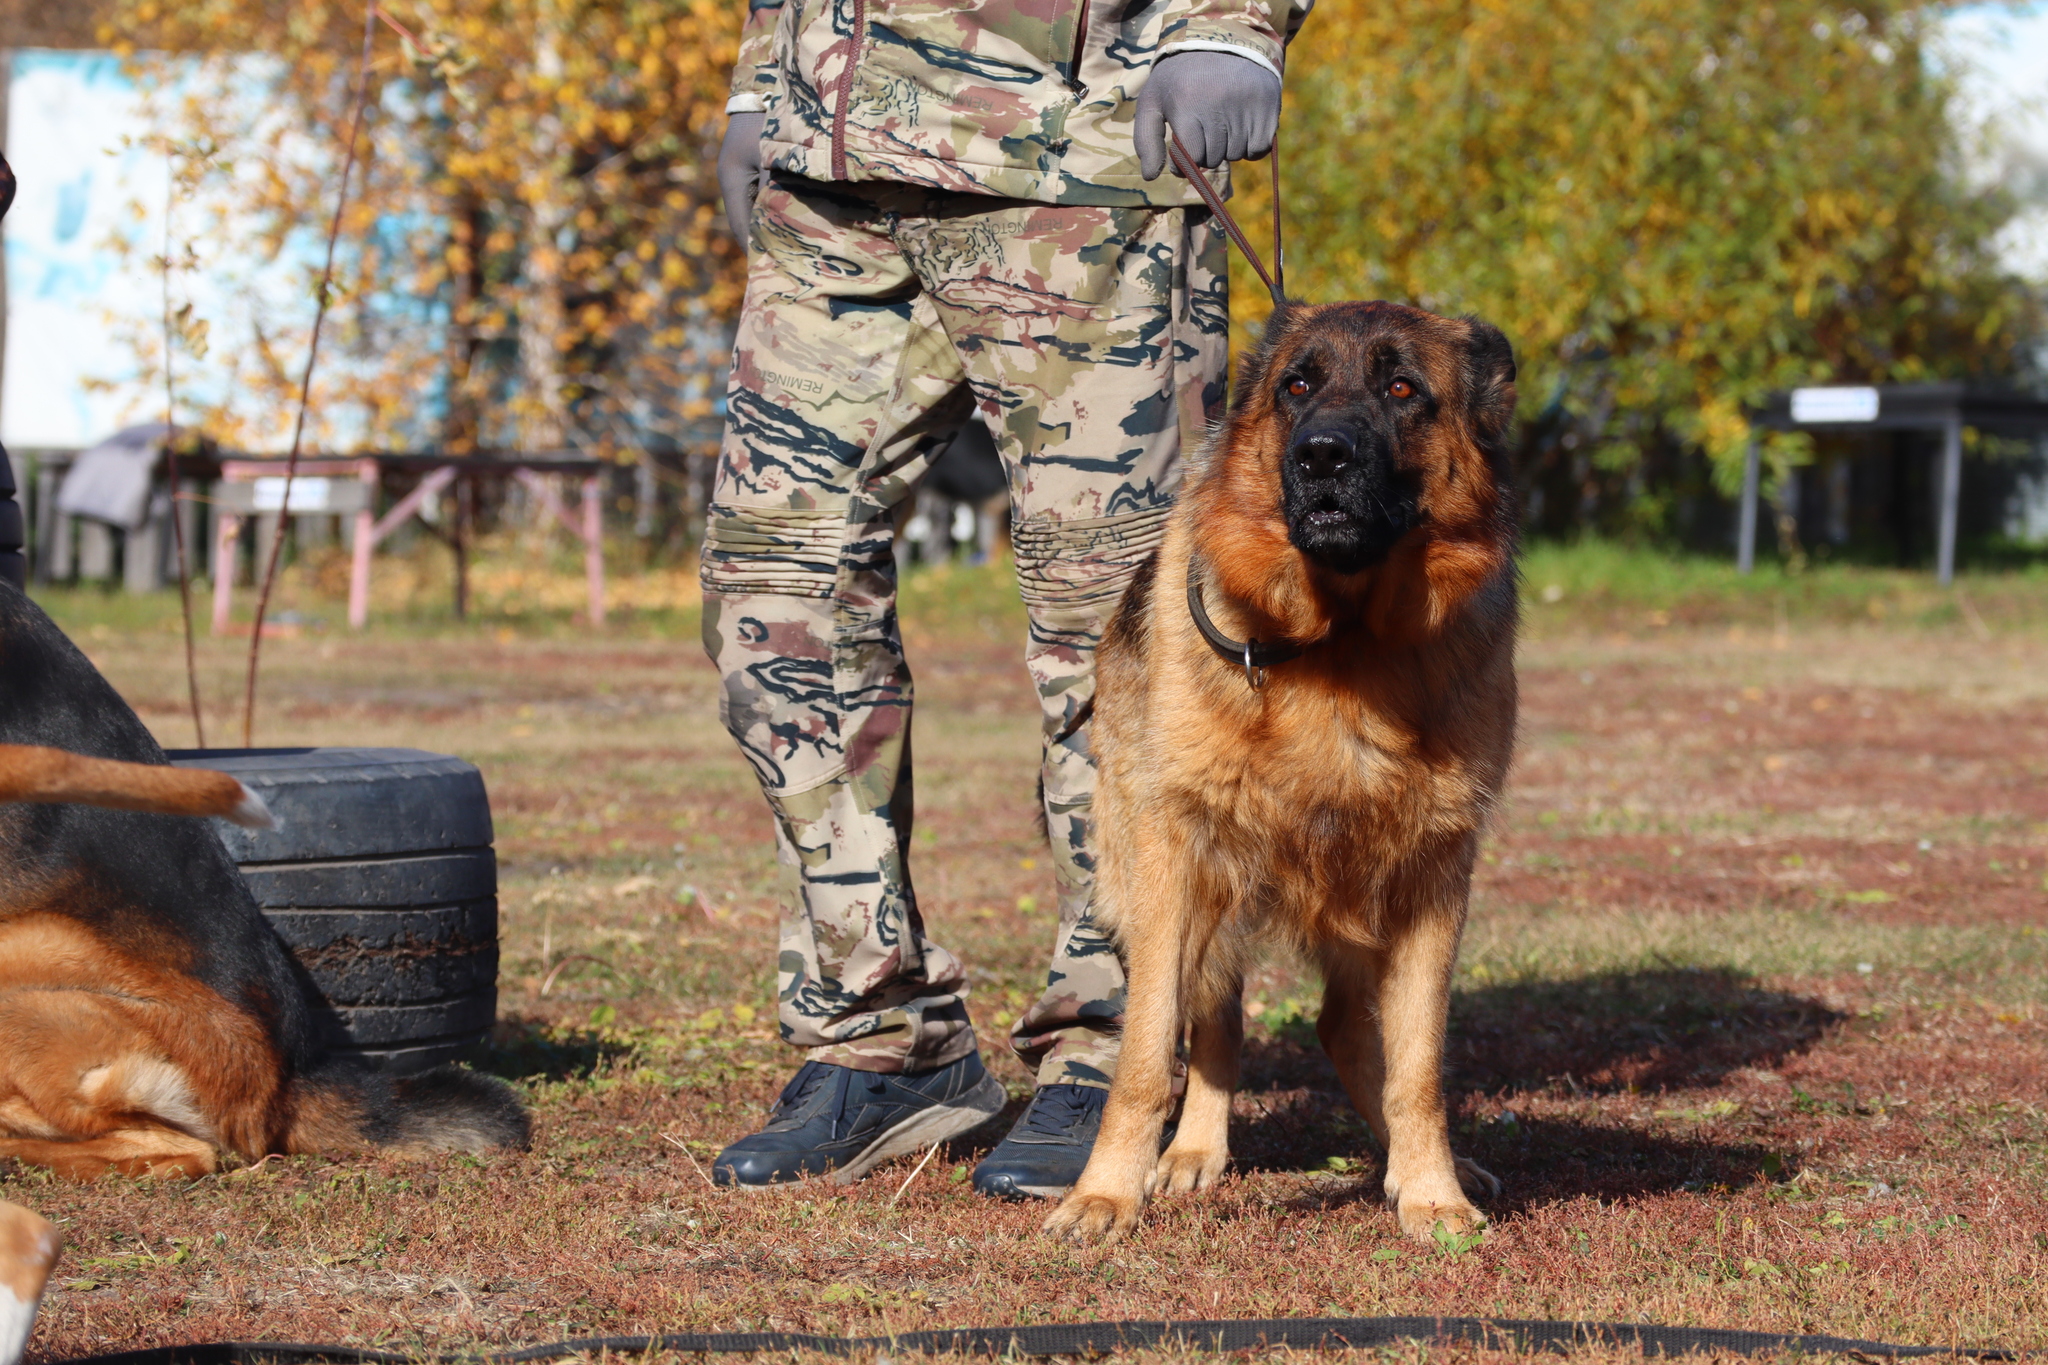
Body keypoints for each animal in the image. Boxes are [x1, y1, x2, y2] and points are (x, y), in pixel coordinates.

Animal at [1048, 300, 1515, 1252]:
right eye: (1297, 385)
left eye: (1401, 388)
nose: (1322, 455)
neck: (1345, 645)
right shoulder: (1176, 859)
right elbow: (1145, 1053)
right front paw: (1107, 1193)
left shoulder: (1433, 877)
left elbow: (1419, 1066)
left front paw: (1432, 1191)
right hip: (1183, 890)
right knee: (1216, 1015)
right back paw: (1191, 1151)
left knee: (1344, 1027)